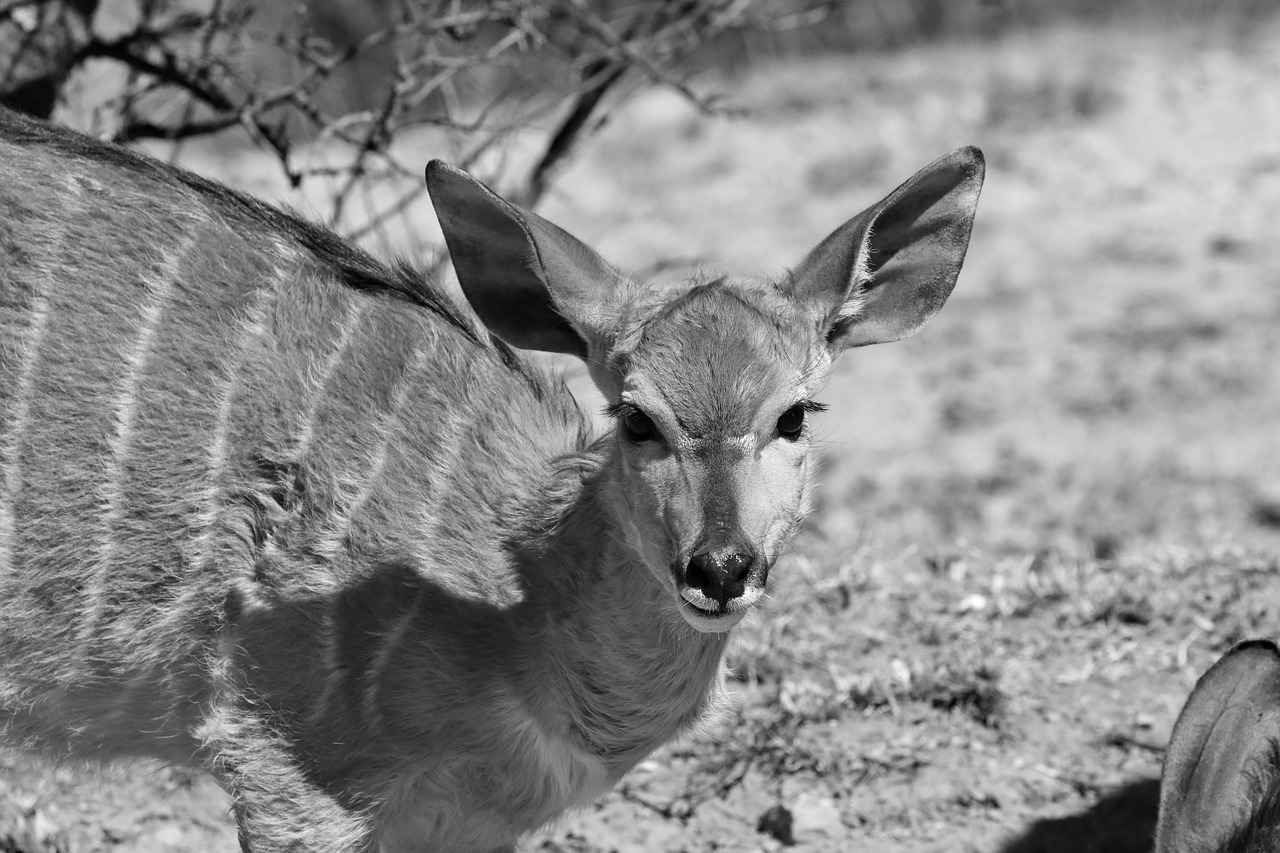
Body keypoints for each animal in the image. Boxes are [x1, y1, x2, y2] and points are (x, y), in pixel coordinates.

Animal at [0, 108, 977, 850]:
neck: (517, 602)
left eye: (795, 415)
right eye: (637, 417)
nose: (720, 568)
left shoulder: (463, 820)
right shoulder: (285, 764)